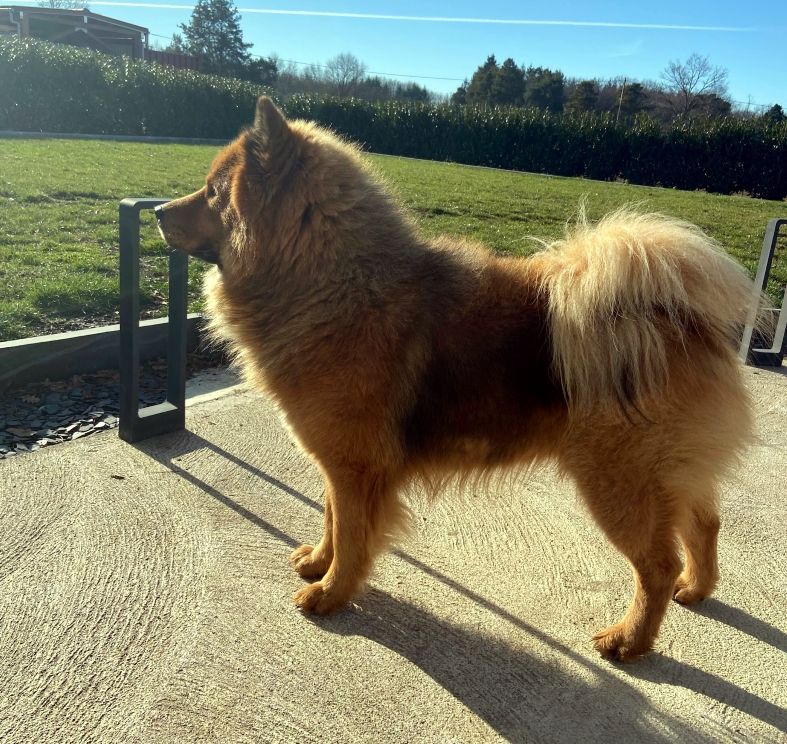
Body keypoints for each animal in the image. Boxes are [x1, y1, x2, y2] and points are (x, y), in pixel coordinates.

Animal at [156, 96, 755, 661]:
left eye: (213, 193)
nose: (158, 211)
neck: (331, 282)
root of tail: (681, 321)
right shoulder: (338, 463)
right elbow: (329, 519)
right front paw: (317, 563)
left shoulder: (355, 467)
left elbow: (350, 535)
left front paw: (331, 593)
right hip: (667, 478)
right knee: (705, 524)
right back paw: (695, 588)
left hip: (619, 485)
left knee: (655, 564)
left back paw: (631, 639)